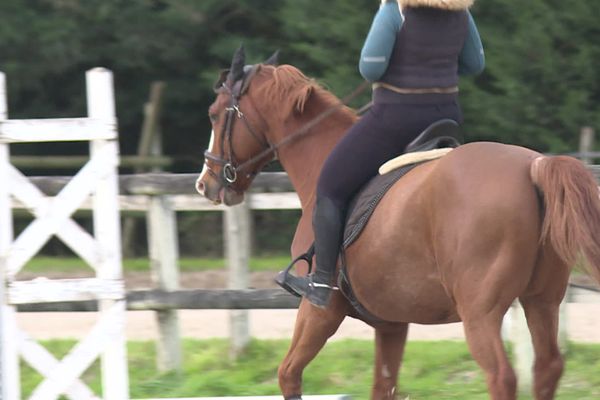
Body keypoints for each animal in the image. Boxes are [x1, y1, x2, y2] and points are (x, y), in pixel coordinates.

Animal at [196, 50, 600, 400]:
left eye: (214, 114)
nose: (205, 184)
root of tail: (532, 166)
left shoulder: (320, 311)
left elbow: (288, 374)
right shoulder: (392, 325)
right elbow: (383, 386)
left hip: (481, 314)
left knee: (501, 377)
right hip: (541, 301)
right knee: (546, 368)